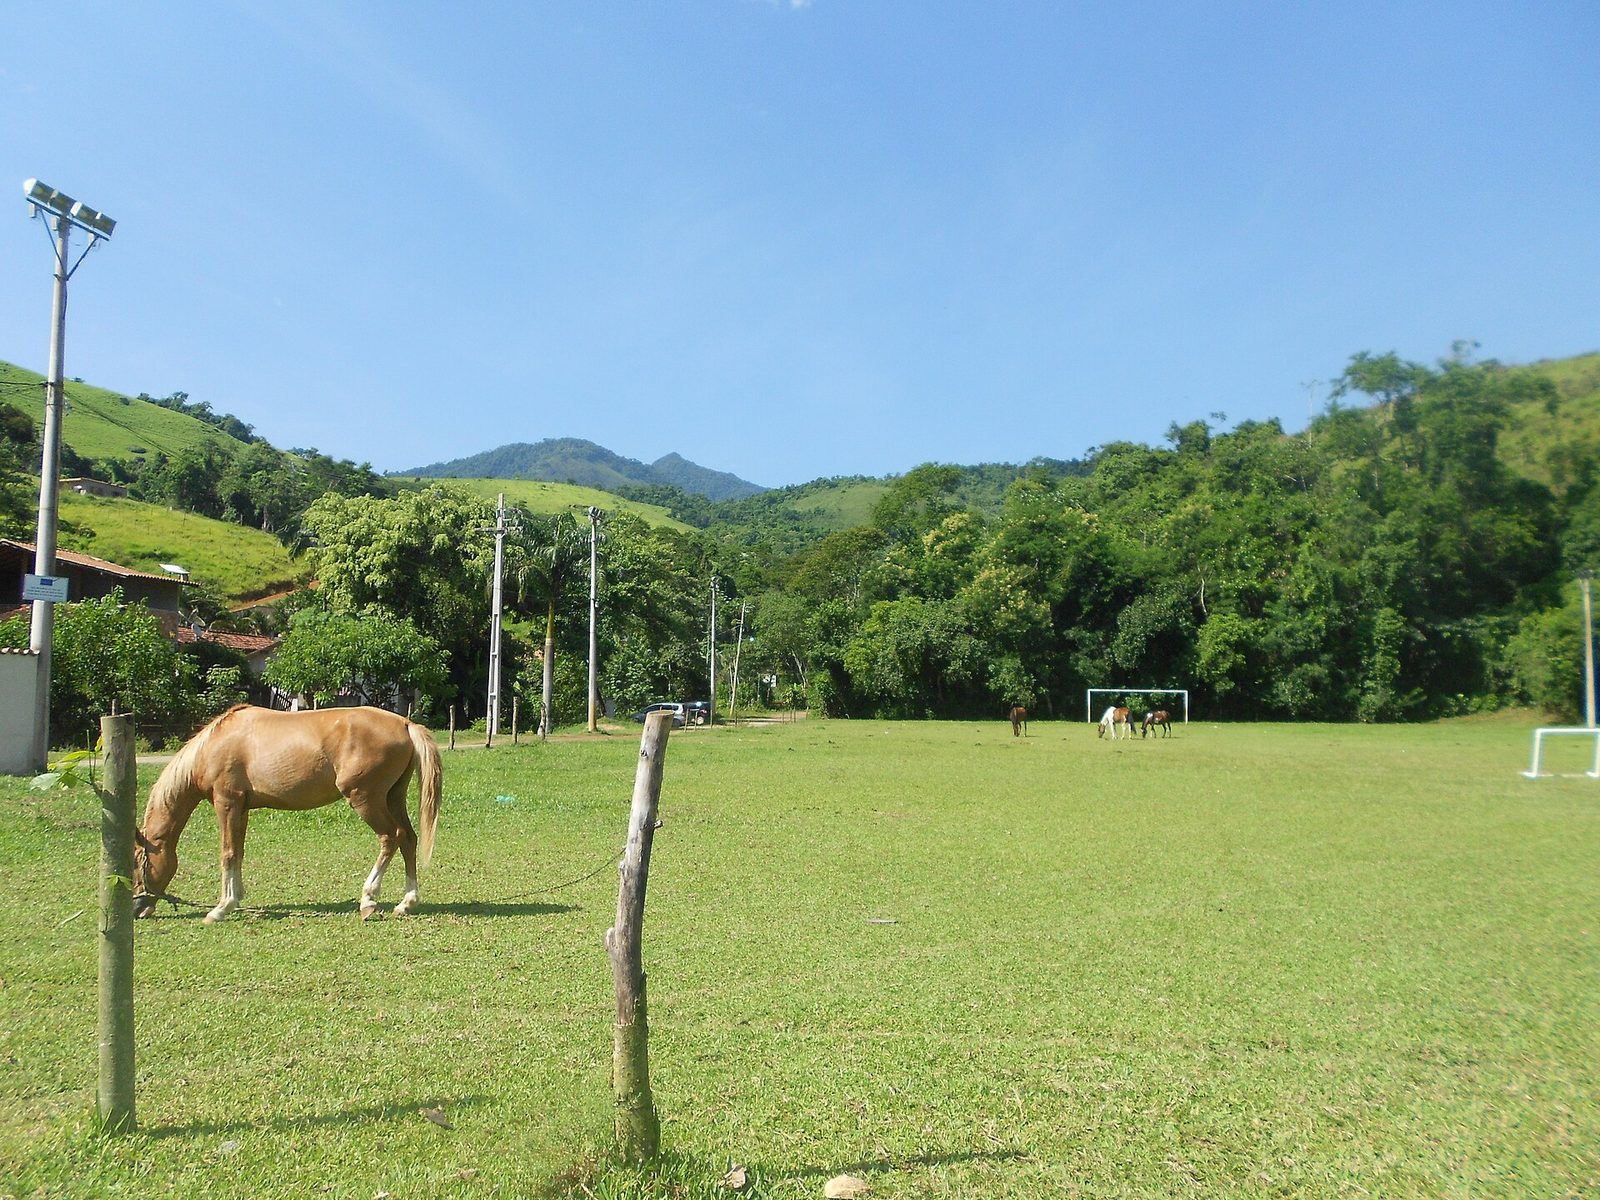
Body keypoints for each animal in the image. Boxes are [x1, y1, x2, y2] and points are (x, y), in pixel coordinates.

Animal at [132, 705, 442, 924]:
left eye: (137, 862)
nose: (138, 908)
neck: (213, 745)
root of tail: (405, 724)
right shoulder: (241, 809)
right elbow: (239, 852)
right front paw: (235, 899)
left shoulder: (226, 803)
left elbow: (227, 853)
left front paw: (221, 908)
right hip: (393, 798)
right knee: (408, 839)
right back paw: (406, 903)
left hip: (365, 799)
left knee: (390, 838)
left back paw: (369, 900)